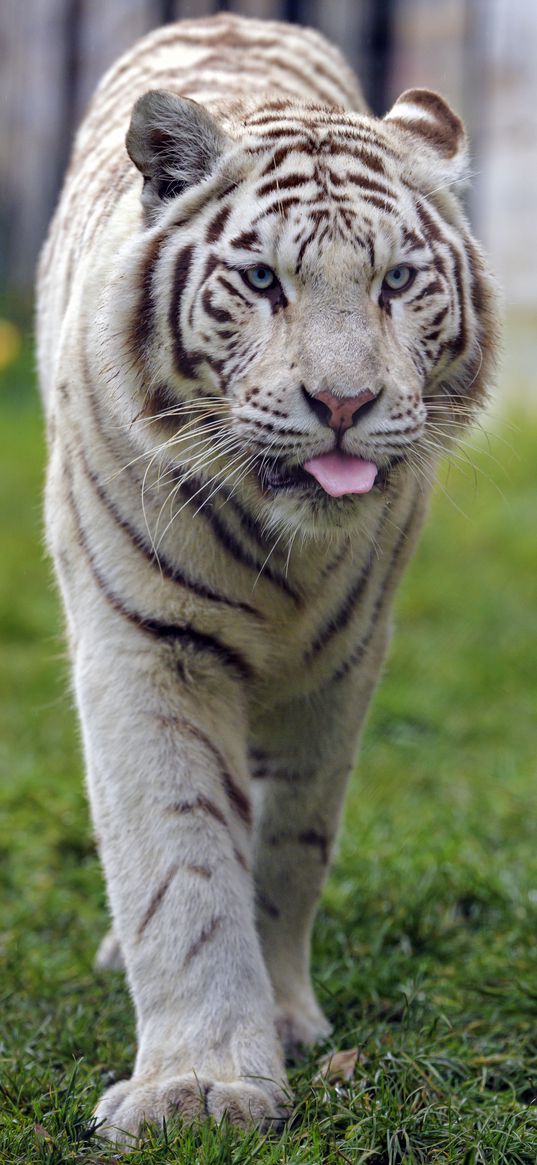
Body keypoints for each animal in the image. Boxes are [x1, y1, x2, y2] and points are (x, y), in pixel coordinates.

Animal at [36, 9, 498, 1146]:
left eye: (394, 281)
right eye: (261, 282)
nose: (343, 402)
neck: (282, 542)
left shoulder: (344, 659)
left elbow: (290, 840)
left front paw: (281, 1023)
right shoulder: (143, 641)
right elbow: (178, 860)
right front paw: (194, 1086)